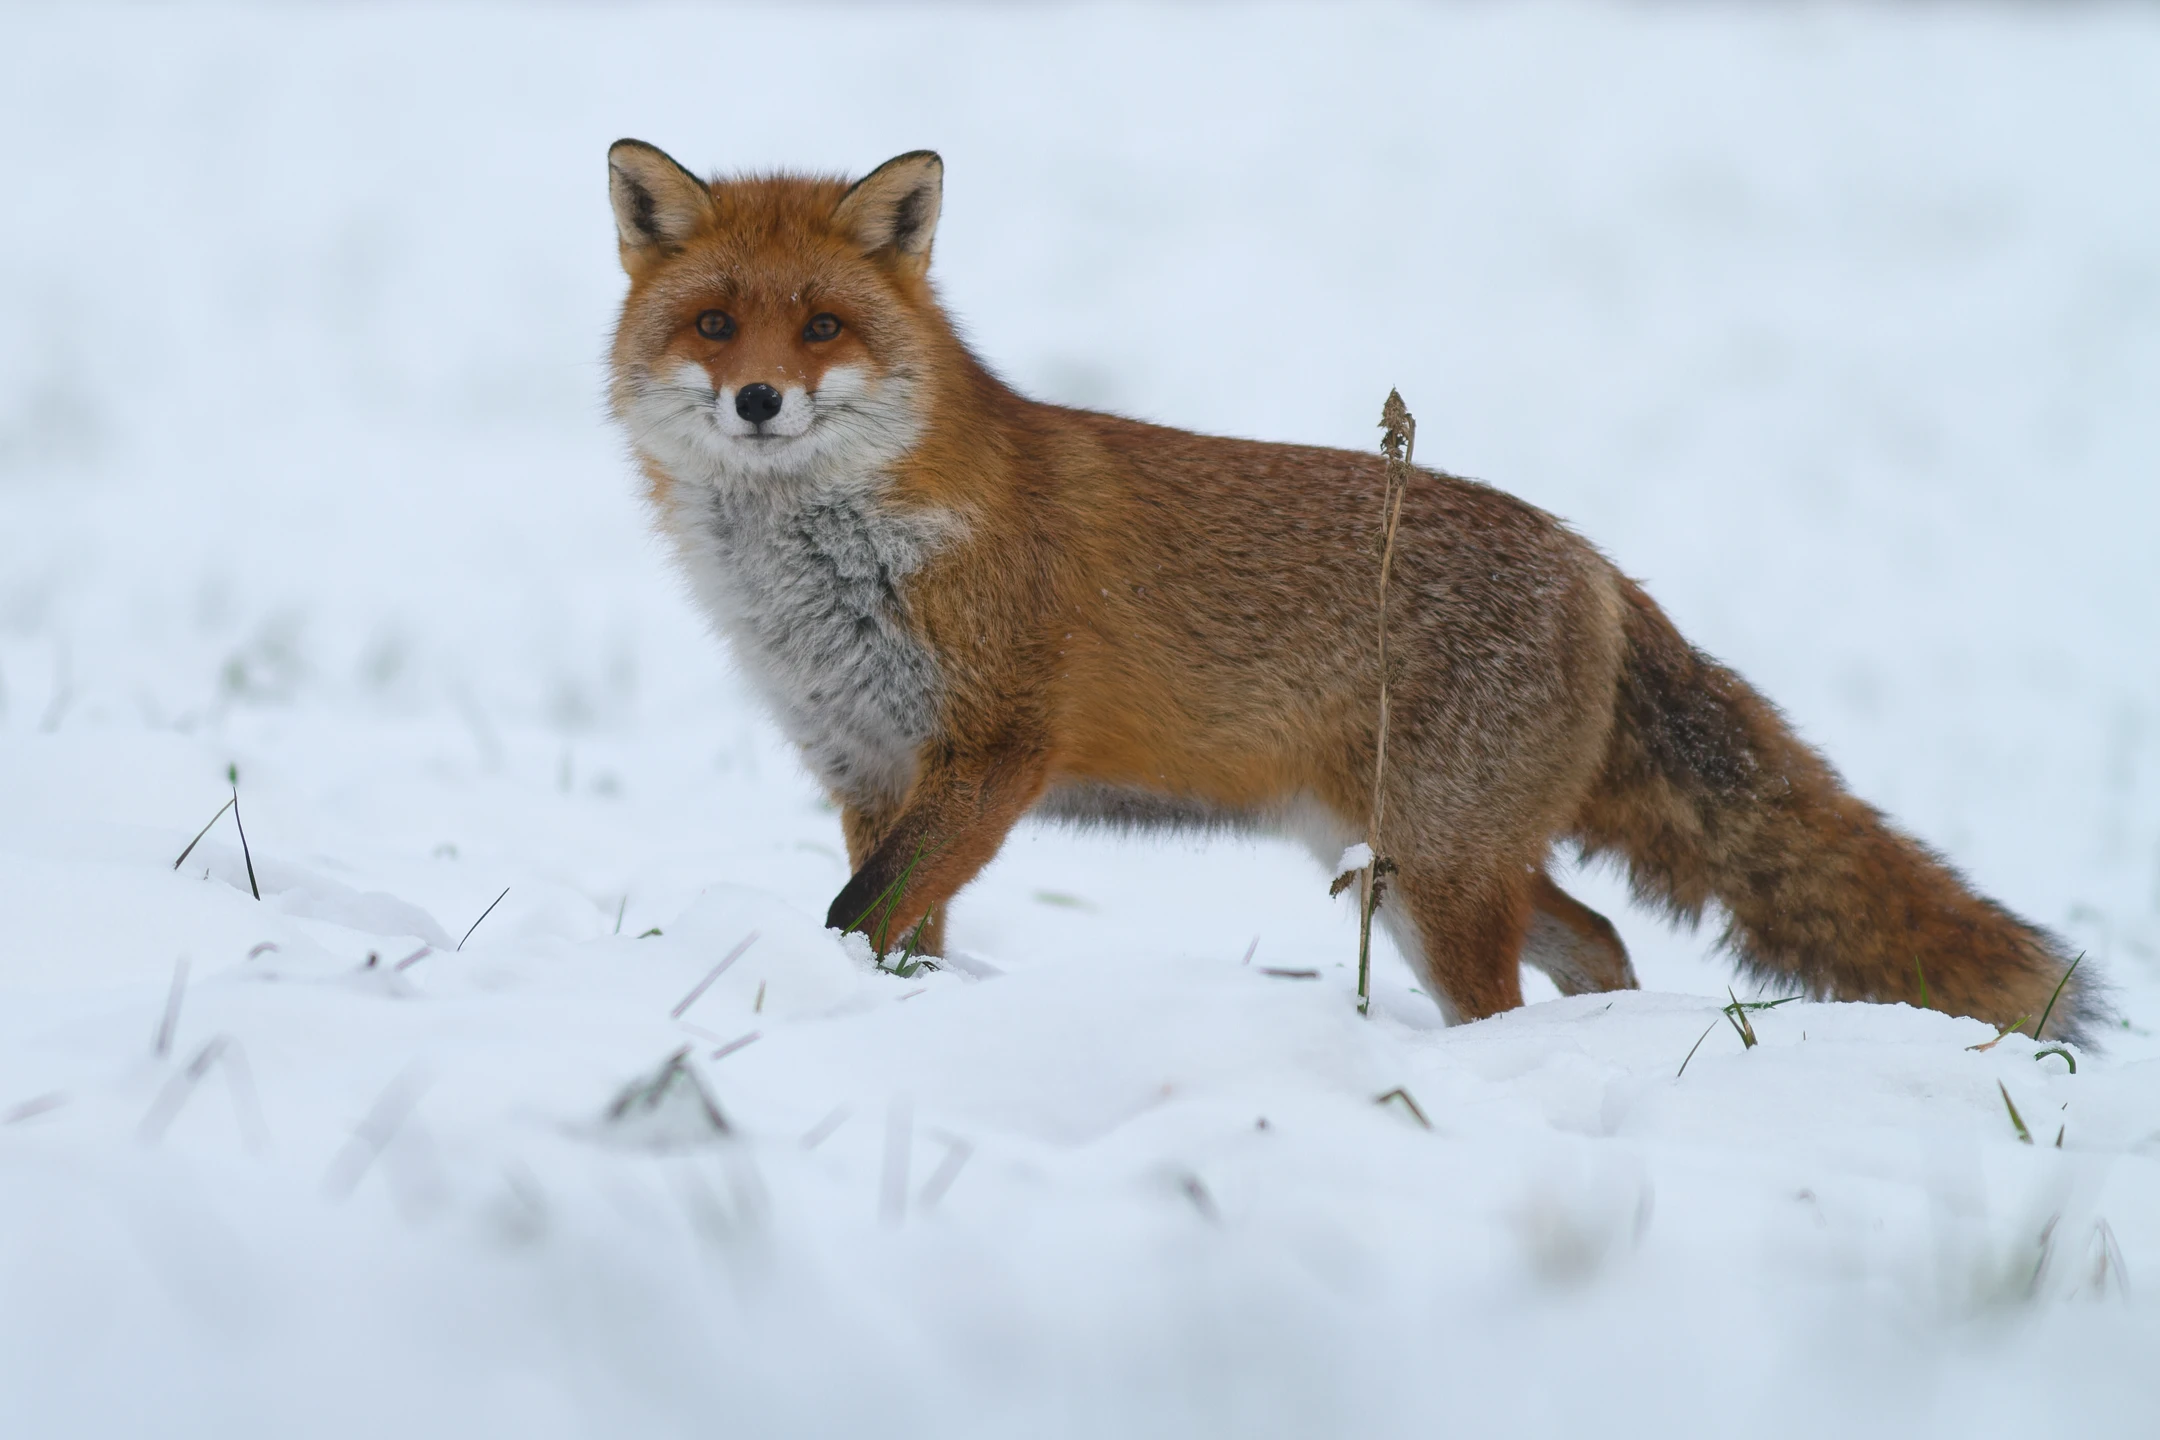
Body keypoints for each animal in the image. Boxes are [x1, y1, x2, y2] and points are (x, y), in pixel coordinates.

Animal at [604, 139, 2101, 1044]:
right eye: (714, 323)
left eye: (823, 328)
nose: (756, 400)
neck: (832, 569)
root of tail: (1596, 563)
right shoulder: (868, 767)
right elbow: (893, 929)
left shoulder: (995, 751)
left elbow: (856, 917)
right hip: (1409, 856)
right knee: (1603, 940)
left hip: (1434, 870)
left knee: (1533, 979)